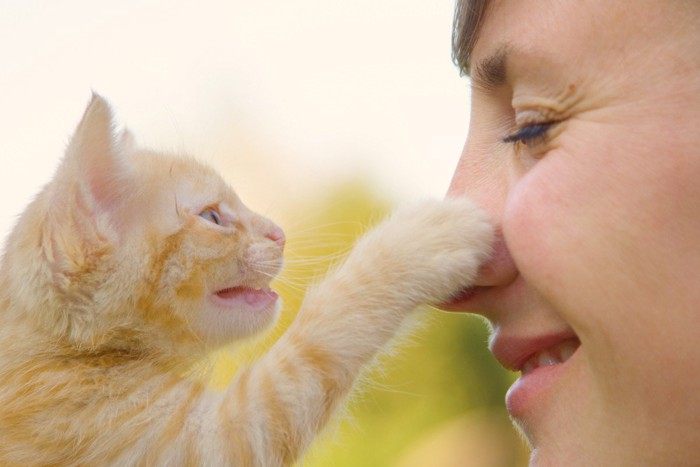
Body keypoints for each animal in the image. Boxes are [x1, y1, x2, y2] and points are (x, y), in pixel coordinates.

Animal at [0, 96, 492, 467]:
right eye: (213, 217)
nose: (279, 233)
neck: (67, 353)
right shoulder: (205, 440)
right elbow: (316, 343)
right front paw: (425, 237)